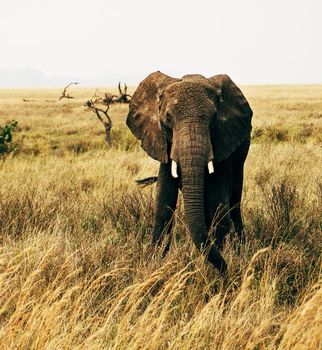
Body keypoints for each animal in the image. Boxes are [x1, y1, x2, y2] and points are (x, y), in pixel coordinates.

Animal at [127, 71, 253, 274]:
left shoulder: (223, 142)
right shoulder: (163, 142)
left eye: (214, 119)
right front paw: (154, 261)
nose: (228, 272)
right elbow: (164, 200)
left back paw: (240, 248)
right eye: (168, 118)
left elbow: (217, 202)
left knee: (233, 203)